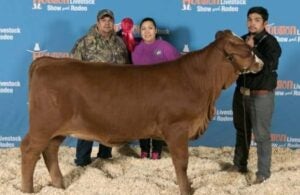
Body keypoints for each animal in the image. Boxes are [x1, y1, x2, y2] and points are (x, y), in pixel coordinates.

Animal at [19, 29, 262, 194]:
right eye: (248, 50)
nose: (261, 63)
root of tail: (47, 62)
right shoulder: (177, 128)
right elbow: (182, 162)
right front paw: (186, 190)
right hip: (43, 124)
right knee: (30, 150)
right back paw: (28, 189)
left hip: (57, 129)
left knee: (50, 151)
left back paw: (59, 185)